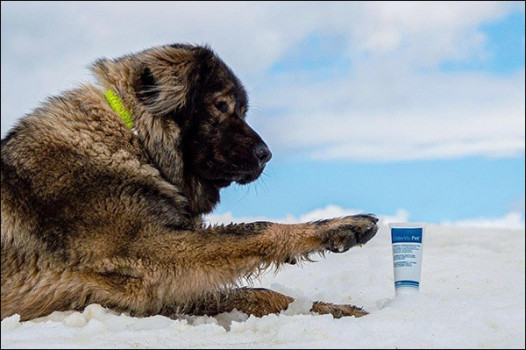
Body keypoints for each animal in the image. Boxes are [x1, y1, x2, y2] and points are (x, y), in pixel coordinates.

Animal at [1, 43, 380, 320]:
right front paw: (340, 226)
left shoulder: (161, 288)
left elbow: (259, 294)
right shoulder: (148, 256)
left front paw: (333, 309)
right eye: (221, 106)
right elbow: (257, 229)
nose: (266, 154)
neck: (136, 141)